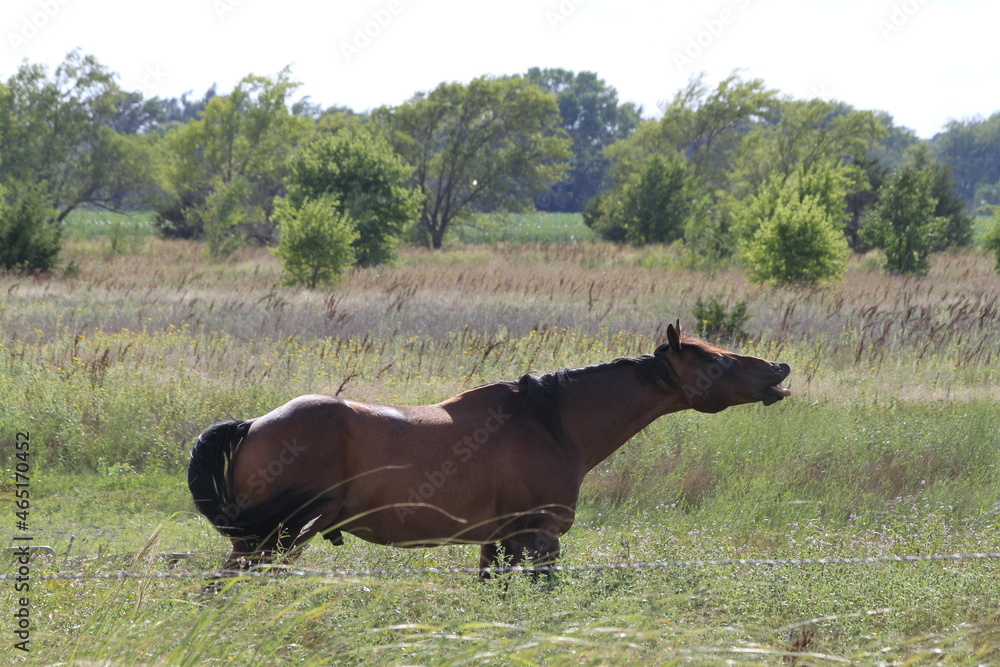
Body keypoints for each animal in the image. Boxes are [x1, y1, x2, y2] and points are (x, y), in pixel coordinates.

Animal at [188, 321, 791, 576]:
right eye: (715, 359)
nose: (779, 370)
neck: (550, 423)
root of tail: (253, 424)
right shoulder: (538, 538)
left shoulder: (498, 543)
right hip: (275, 540)